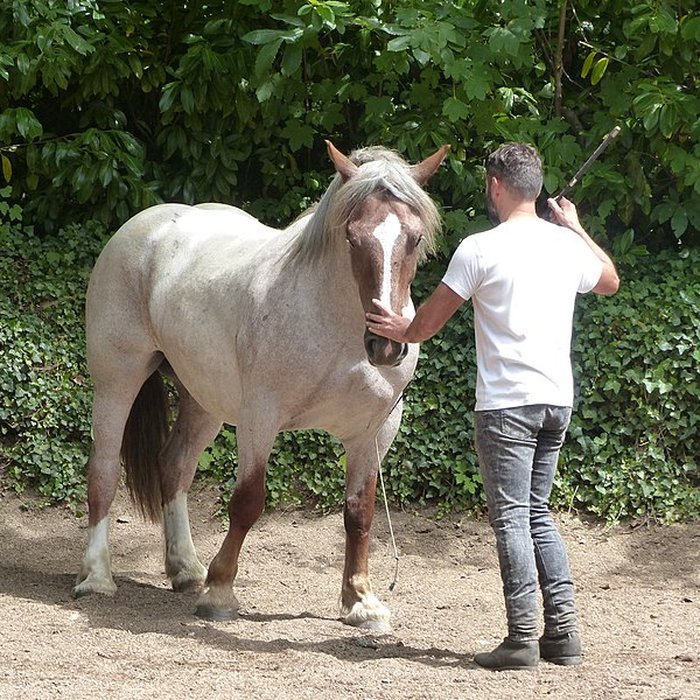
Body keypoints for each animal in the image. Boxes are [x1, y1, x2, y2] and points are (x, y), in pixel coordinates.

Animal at [73, 140, 449, 631]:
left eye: (415, 238)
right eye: (352, 238)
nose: (386, 345)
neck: (334, 329)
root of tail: (143, 225)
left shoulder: (373, 433)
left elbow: (359, 513)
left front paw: (361, 602)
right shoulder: (260, 419)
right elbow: (248, 502)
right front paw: (220, 593)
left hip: (204, 401)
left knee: (174, 467)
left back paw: (186, 569)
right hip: (117, 381)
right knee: (103, 469)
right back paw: (97, 577)